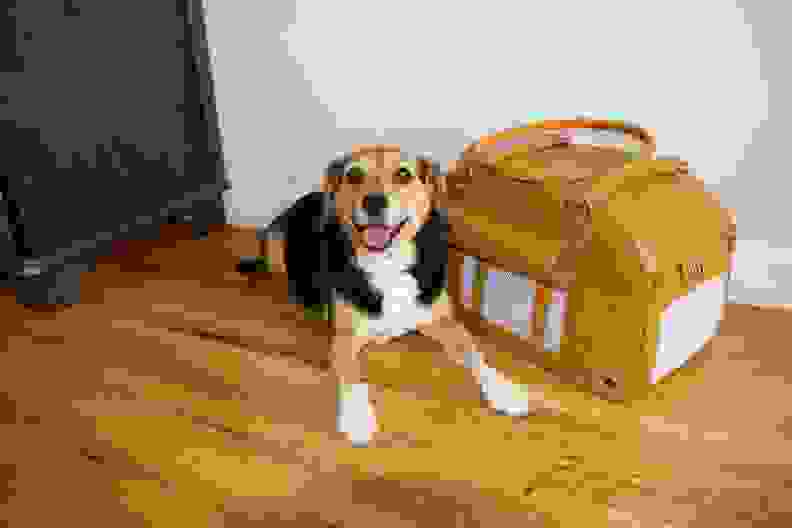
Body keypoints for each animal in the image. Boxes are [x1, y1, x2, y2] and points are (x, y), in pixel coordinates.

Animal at [244, 144, 536, 446]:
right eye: (354, 174)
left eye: (403, 174)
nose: (373, 202)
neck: (387, 262)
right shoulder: (345, 337)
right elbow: (352, 376)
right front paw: (357, 416)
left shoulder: (444, 320)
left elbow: (477, 355)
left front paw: (504, 391)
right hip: (275, 243)